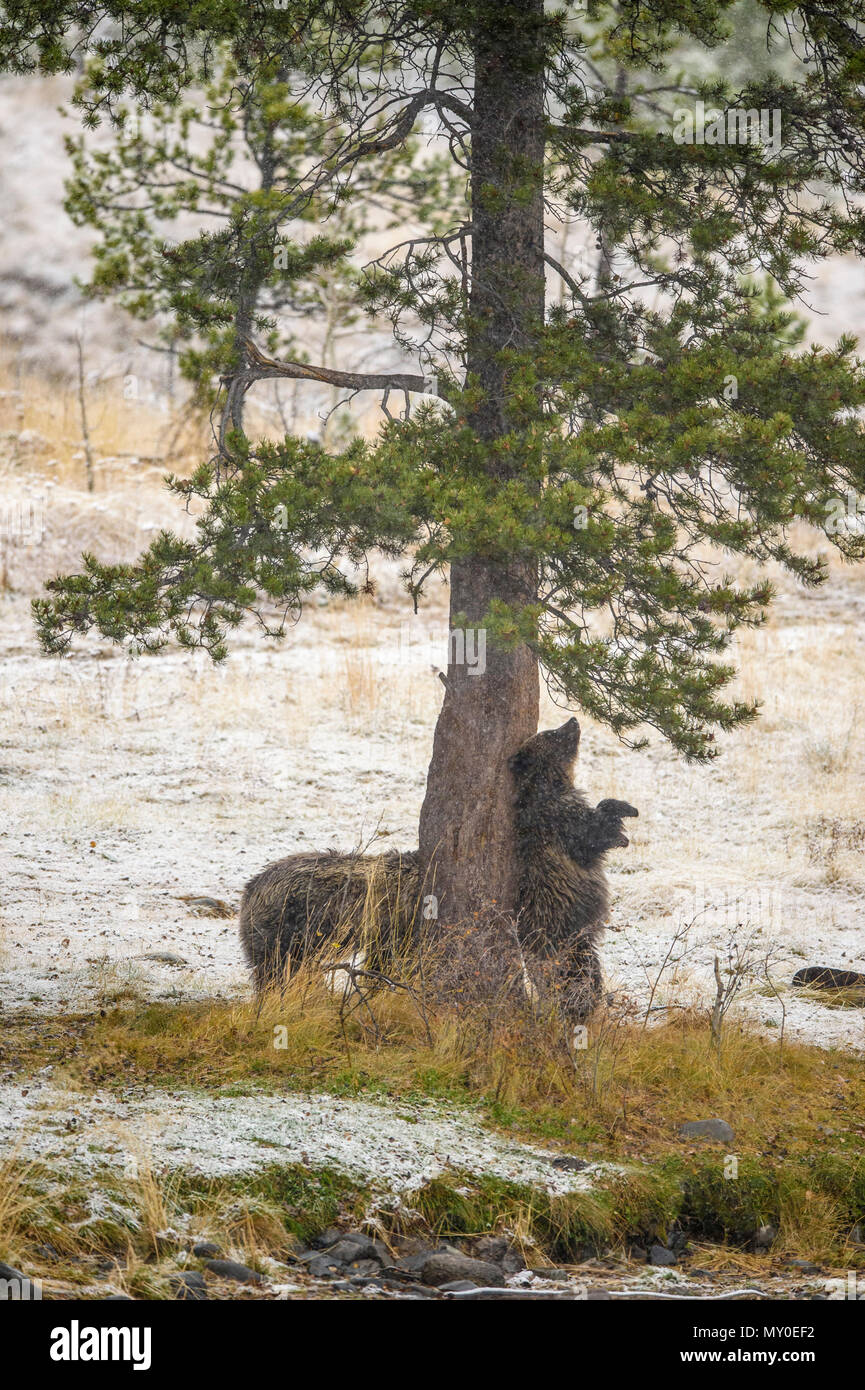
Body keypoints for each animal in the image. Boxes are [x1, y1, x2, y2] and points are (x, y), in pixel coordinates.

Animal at [240, 722, 639, 1017]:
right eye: (553, 734)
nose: (572, 721)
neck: (546, 787)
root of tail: (252, 887)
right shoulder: (558, 829)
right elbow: (589, 833)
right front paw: (621, 817)